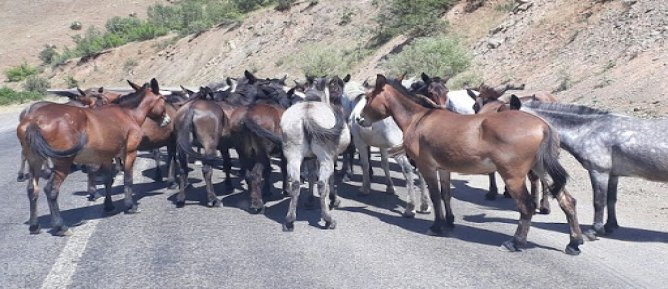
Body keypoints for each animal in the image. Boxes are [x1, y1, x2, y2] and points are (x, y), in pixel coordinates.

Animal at [17, 77, 170, 235]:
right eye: (163, 99)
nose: (167, 120)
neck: (128, 114)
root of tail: (34, 121)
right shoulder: (129, 153)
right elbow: (128, 179)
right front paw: (130, 206)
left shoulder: (107, 157)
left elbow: (108, 181)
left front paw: (109, 205)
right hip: (62, 164)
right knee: (51, 190)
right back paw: (60, 226)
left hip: (34, 161)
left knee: (32, 189)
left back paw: (34, 225)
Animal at [280, 75, 352, 231]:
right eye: (337, 90)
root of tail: (307, 115)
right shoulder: (332, 157)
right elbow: (330, 178)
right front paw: (333, 199)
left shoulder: (310, 158)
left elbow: (312, 175)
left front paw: (309, 200)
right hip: (326, 158)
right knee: (322, 184)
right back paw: (328, 219)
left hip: (293, 156)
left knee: (295, 184)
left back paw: (289, 219)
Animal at [358, 74, 580, 254]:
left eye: (368, 98)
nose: (360, 119)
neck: (419, 119)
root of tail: (543, 125)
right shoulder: (443, 168)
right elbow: (446, 194)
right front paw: (449, 221)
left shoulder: (427, 167)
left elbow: (435, 196)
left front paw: (436, 226)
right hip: (542, 170)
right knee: (567, 202)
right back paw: (574, 243)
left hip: (513, 177)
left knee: (527, 206)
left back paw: (515, 242)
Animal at [520, 98, 668, 240]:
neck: (589, 130)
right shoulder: (613, 174)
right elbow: (611, 200)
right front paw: (610, 226)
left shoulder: (599, 172)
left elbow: (599, 201)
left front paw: (594, 230)